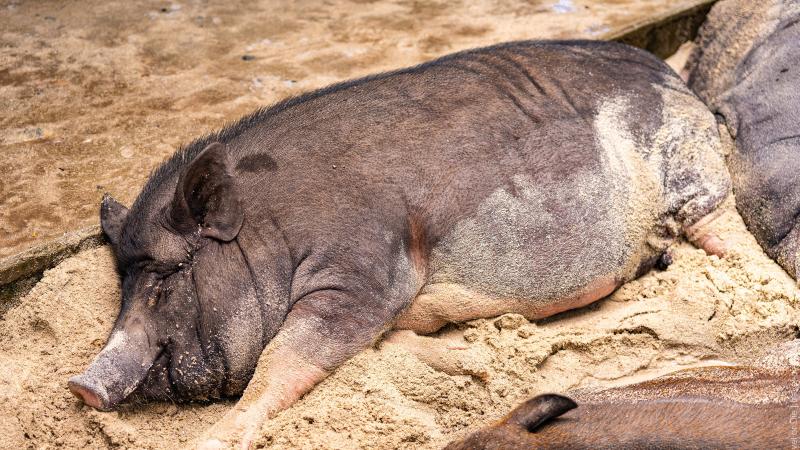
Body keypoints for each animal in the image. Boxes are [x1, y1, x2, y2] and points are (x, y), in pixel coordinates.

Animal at [67, 40, 731, 448]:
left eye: (166, 276)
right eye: (122, 283)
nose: (81, 386)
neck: (269, 234)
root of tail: (673, 75)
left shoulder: (359, 276)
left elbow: (282, 359)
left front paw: (212, 438)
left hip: (692, 168)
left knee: (720, 234)